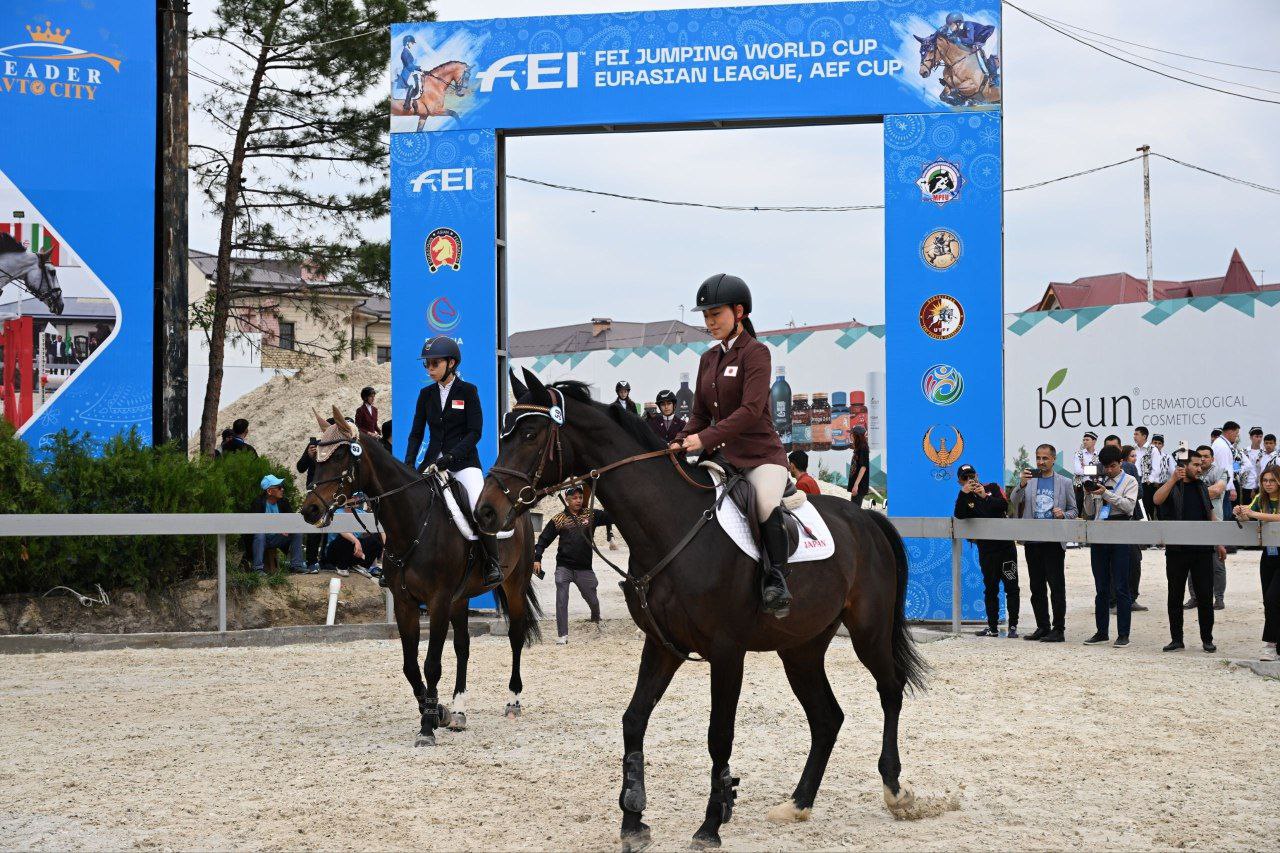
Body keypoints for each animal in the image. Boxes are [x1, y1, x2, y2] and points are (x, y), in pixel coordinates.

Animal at [299, 406, 541, 747]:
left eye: (340, 456)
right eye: (315, 457)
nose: (310, 510)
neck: (413, 523)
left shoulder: (437, 601)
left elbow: (431, 664)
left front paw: (427, 726)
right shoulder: (406, 603)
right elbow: (411, 666)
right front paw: (437, 710)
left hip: (513, 585)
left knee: (516, 636)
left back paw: (513, 702)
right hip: (461, 598)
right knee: (463, 646)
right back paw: (459, 710)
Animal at [476, 371, 928, 850]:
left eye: (529, 434)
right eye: (504, 432)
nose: (486, 511)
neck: (669, 525)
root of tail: (866, 519)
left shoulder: (727, 653)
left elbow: (719, 736)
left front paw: (711, 822)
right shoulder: (662, 646)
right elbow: (633, 719)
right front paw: (633, 817)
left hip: (869, 633)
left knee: (890, 691)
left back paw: (895, 790)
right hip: (800, 649)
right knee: (827, 718)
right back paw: (798, 803)